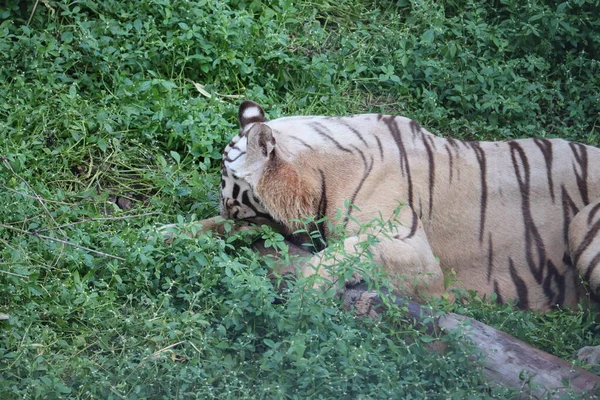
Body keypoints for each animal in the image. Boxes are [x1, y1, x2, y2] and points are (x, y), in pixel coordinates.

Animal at [219, 101, 600, 366]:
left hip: (585, 220)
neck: (318, 176)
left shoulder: (418, 254)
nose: (225, 225)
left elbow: (346, 252)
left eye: (231, 203)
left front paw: (303, 303)